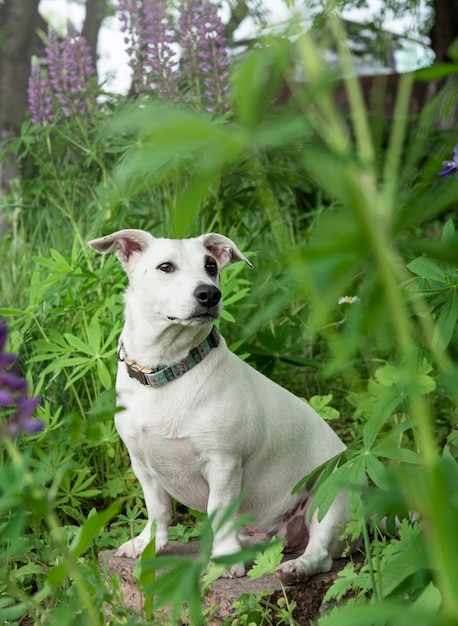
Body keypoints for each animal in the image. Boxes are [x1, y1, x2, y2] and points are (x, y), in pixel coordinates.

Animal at [87, 230, 348, 584]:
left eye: (211, 266)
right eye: (165, 266)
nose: (209, 293)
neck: (168, 370)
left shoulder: (224, 464)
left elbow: (219, 512)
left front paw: (223, 561)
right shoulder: (142, 465)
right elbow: (157, 509)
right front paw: (148, 543)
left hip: (329, 499)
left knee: (321, 553)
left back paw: (297, 567)